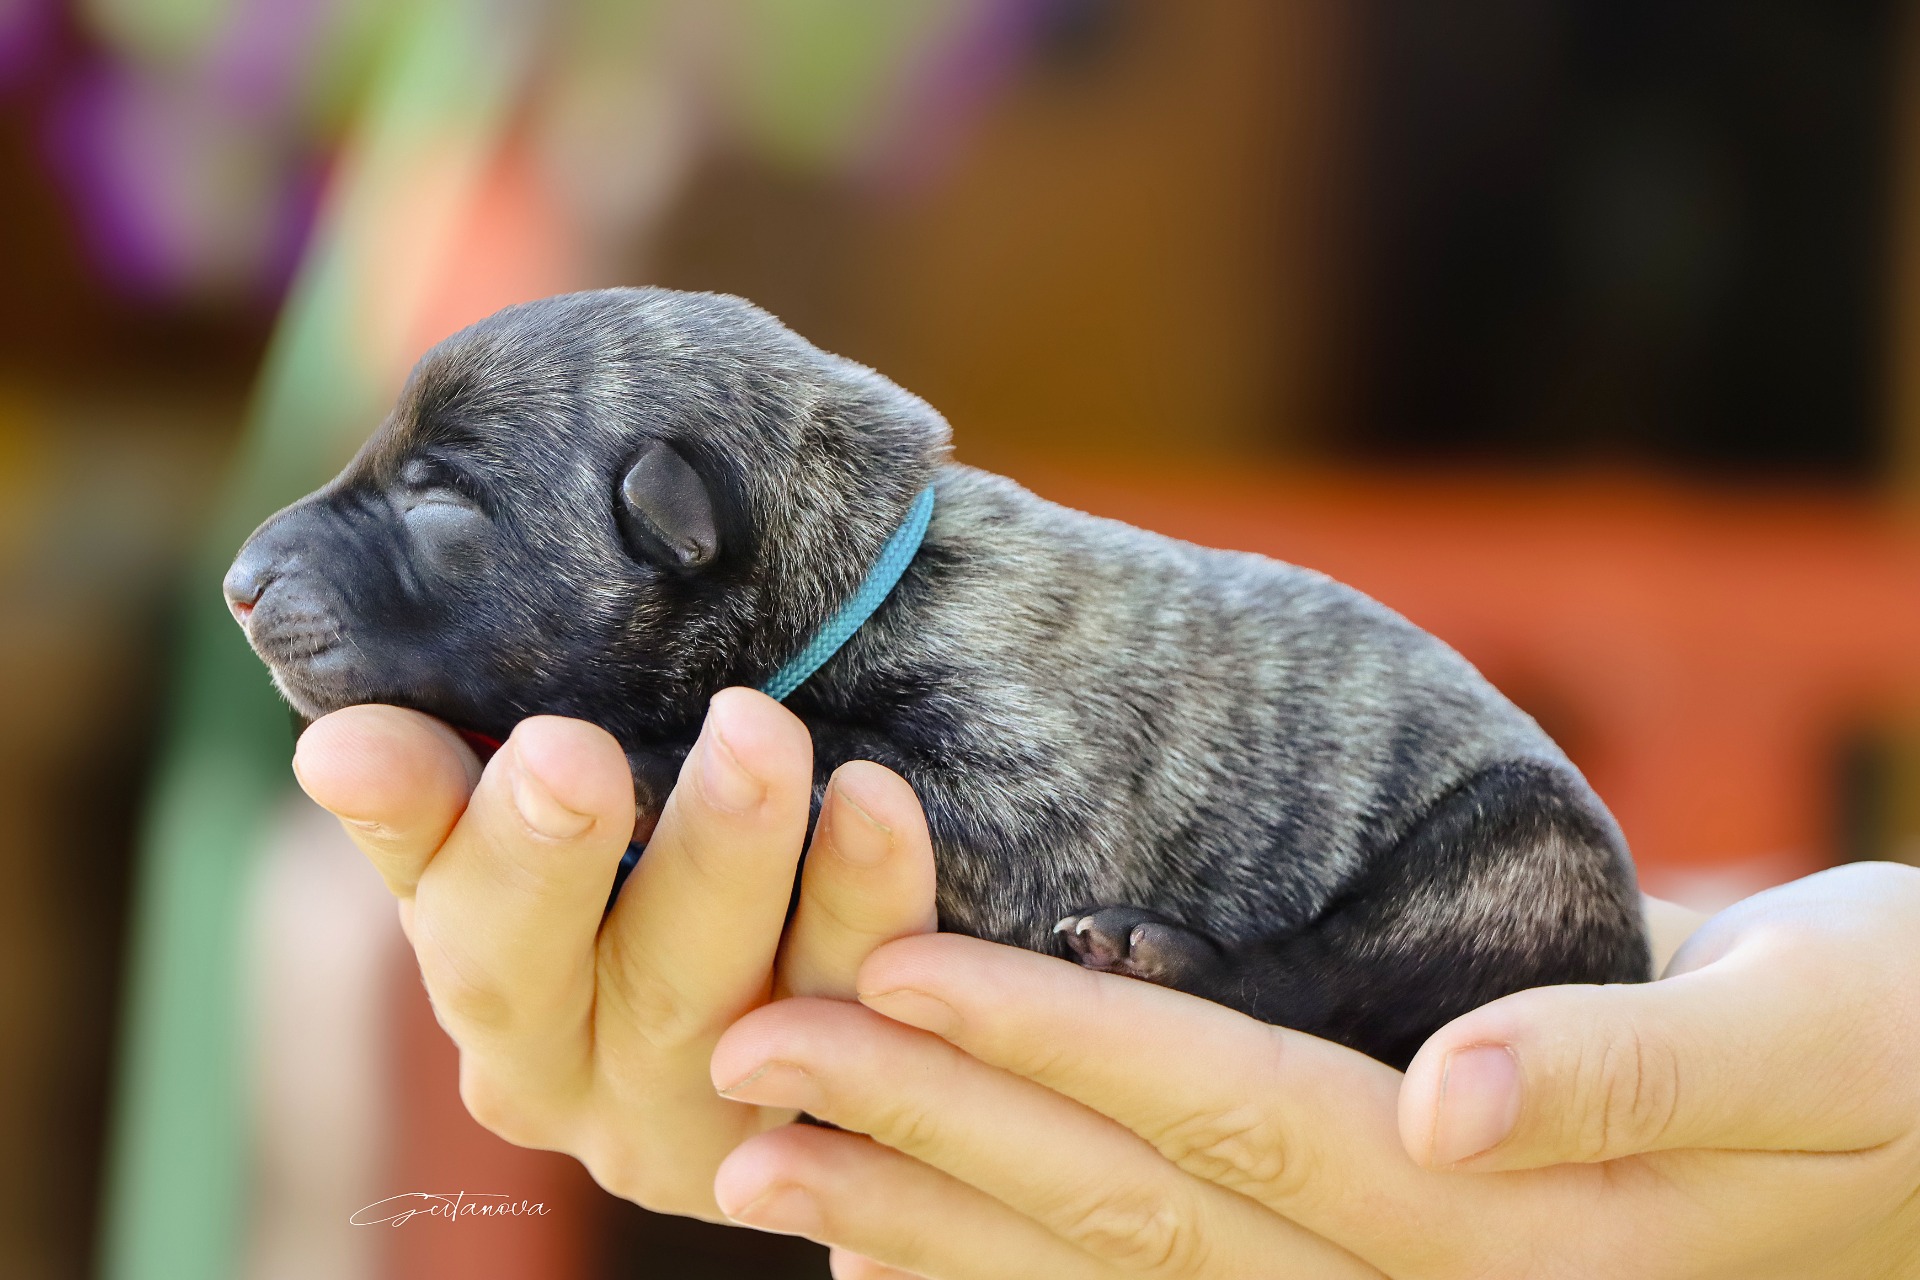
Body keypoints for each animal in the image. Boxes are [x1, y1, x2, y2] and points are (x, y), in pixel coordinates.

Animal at [226, 287, 1651, 1068]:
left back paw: (1162, 957)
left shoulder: (1023, 793)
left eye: (440, 502)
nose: (240, 577)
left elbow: (839, 749)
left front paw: (650, 758)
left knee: (1334, 977)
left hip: (1513, 849)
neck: (866, 562)